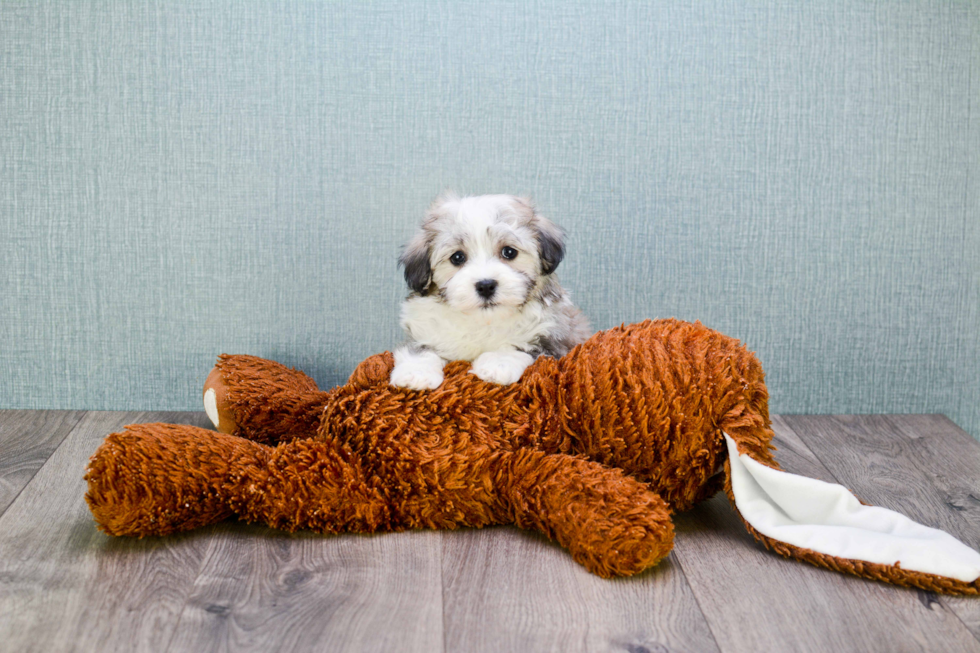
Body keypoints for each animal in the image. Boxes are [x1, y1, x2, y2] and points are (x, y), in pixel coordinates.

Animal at [388, 191, 588, 390]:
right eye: (457, 257)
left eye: (509, 252)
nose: (486, 285)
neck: (484, 321)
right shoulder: (423, 330)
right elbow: (419, 349)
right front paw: (416, 373)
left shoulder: (554, 339)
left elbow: (520, 345)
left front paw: (498, 364)